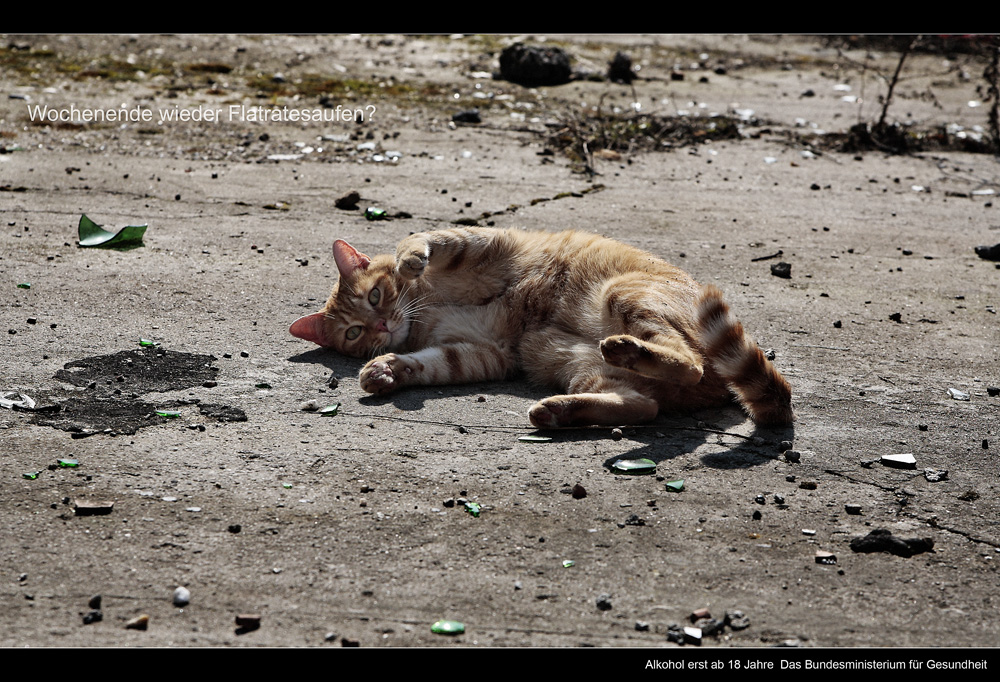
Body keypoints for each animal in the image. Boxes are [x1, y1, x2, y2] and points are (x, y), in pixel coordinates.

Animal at [292, 228, 796, 430]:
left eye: (375, 296)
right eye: (353, 334)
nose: (379, 325)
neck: (424, 310)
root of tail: (719, 387)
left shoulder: (486, 245)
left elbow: (423, 238)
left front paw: (411, 257)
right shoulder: (485, 351)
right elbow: (428, 363)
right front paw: (385, 370)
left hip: (623, 295)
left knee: (687, 364)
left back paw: (629, 351)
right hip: (573, 360)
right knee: (644, 405)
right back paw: (559, 410)